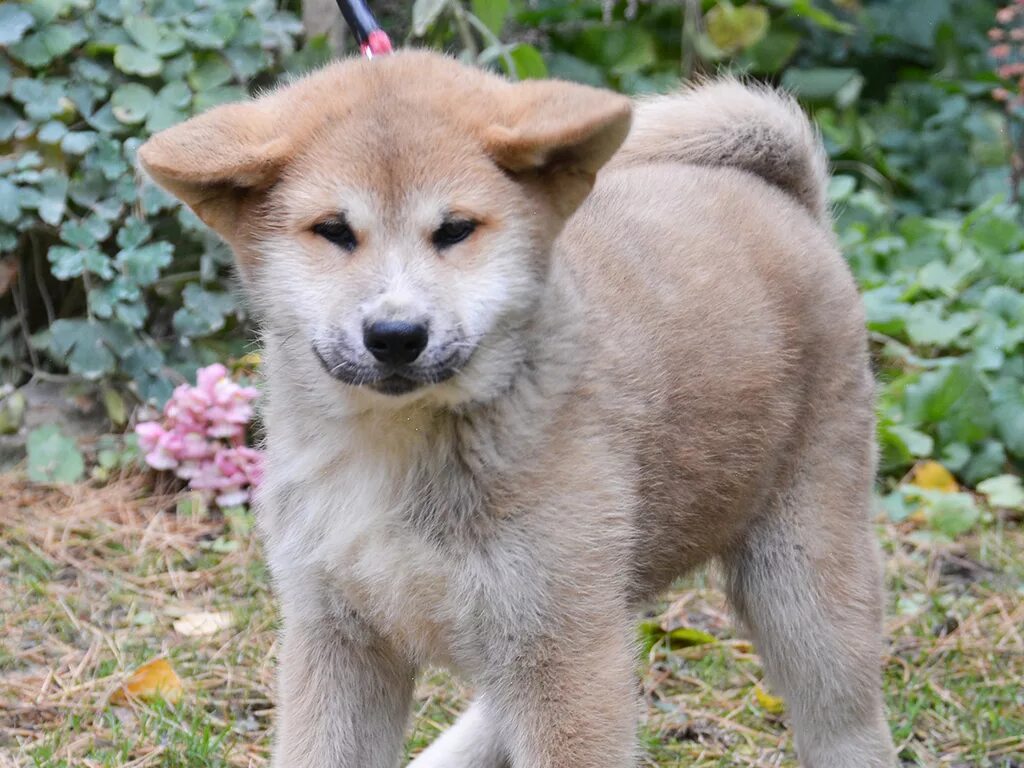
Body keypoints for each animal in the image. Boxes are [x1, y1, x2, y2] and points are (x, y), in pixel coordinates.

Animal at [138, 49, 897, 768]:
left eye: (455, 230)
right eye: (333, 231)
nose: (395, 335)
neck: (396, 448)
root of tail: (781, 198)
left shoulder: (561, 650)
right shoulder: (339, 634)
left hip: (801, 588)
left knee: (846, 721)